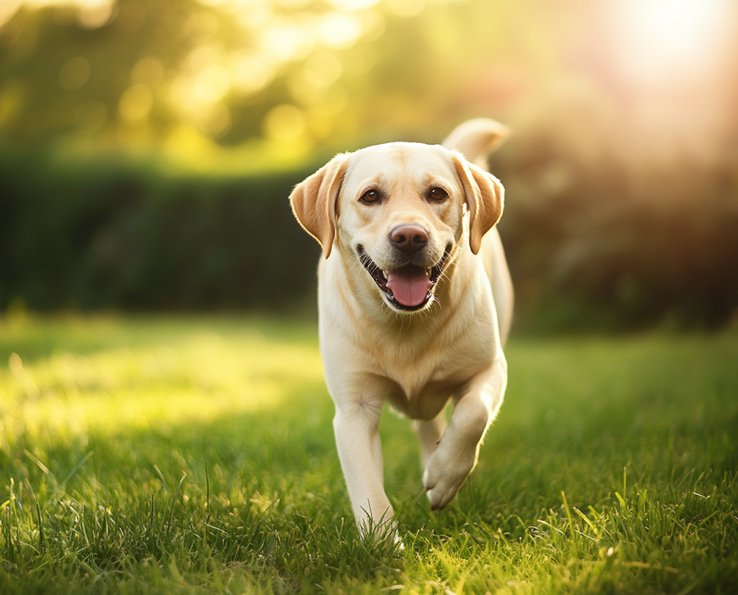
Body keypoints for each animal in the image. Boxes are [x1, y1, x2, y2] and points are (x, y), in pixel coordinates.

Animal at [288, 118, 512, 536]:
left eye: (437, 193)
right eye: (371, 196)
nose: (409, 236)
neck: (404, 324)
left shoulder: (490, 368)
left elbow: (472, 413)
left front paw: (445, 475)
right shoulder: (354, 407)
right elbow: (368, 490)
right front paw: (382, 542)